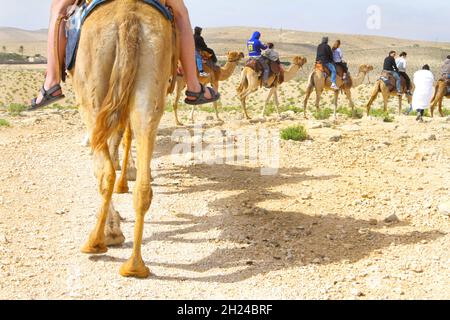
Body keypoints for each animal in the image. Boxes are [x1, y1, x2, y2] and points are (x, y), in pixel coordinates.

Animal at [69, 0, 177, 278]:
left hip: (92, 90)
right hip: (152, 75)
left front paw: (113, 229)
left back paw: (96, 241)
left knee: (104, 170)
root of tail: (129, 17)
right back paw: (135, 266)